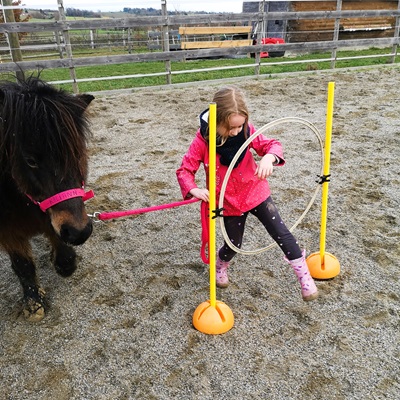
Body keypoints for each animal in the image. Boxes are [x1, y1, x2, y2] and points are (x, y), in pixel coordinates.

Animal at [0, 76, 94, 322]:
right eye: (31, 160)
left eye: (77, 153)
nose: (80, 232)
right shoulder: (7, 229)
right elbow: (22, 265)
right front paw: (33, 303)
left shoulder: (52, 217)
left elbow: (65, 256)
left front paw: (62, 262)